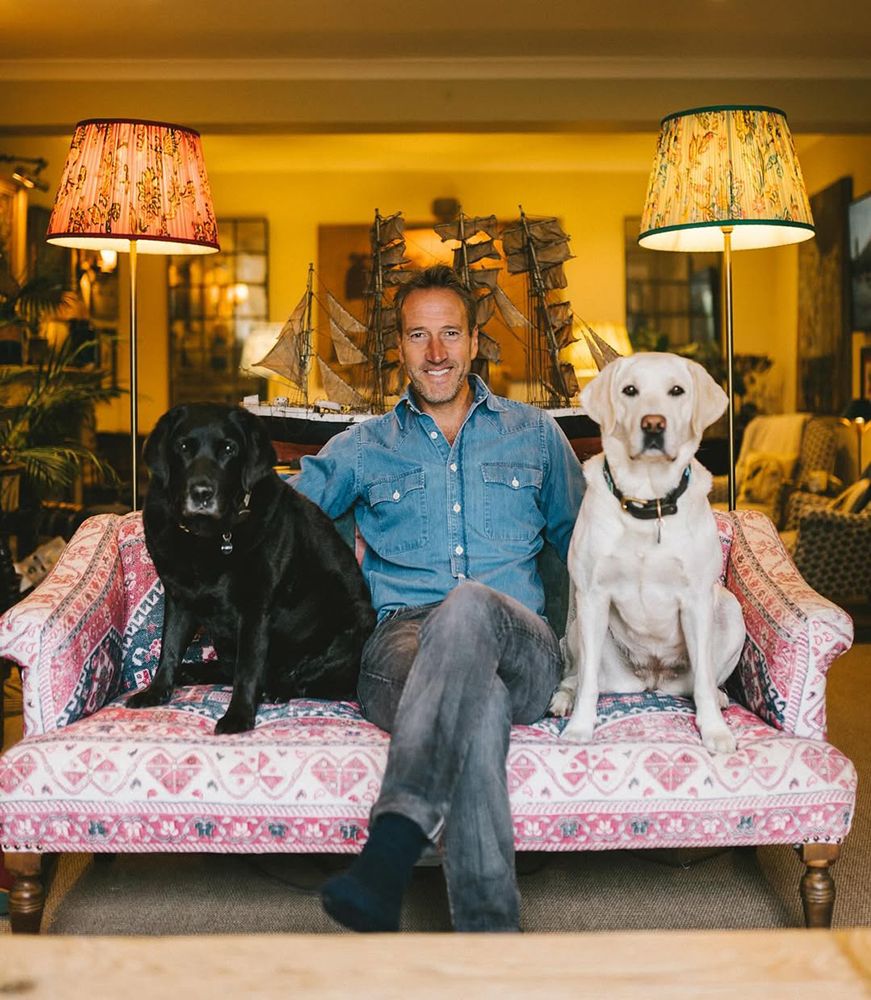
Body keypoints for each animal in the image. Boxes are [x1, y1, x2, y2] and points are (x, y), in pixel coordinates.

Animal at [126, 402, 374, 740]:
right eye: (183, 447)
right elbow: (170, 649)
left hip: (353, 623)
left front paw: (238, 715)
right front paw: (156, 691)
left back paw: (276, 689)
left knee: (300, 678)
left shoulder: (255, 608)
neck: (207, 537)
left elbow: (248, 668)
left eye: (229, 449)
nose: (202, 493)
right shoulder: (178, 598)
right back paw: (193, 671)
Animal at [552, 352, 748, 752]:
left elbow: (703, 681)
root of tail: (651, 680)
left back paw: (721, 698)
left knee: (706, 681)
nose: (653, 424)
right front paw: (580, 727)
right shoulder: (593, 596)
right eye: (630, 390)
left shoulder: (696, 599)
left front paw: (715, 730)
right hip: (581, 629)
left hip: (730, 610)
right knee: (575, 677)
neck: (649, 501)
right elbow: (587, 683)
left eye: (677, 390)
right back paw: (562, 700)